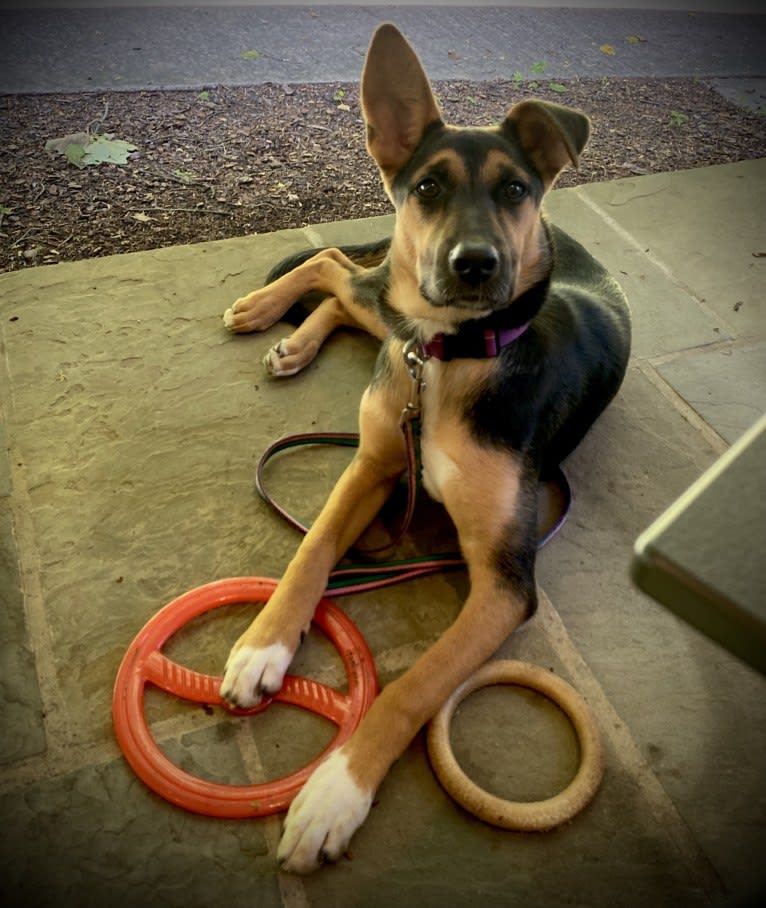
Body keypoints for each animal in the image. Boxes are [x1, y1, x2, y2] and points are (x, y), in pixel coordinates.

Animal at [219, 23, 632, 872]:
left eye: (515, 189)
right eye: (429, 187)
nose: (474, 265)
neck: (451, 359)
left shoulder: (505, 585)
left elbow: (416, 684)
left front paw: (335, 794)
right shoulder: (373, 463)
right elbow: (311, 552)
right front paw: (262, 646)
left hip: (393, 306)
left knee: (348, 287)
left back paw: (293, 338)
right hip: (395, 293)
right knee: (339, 270)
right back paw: (270, 315)